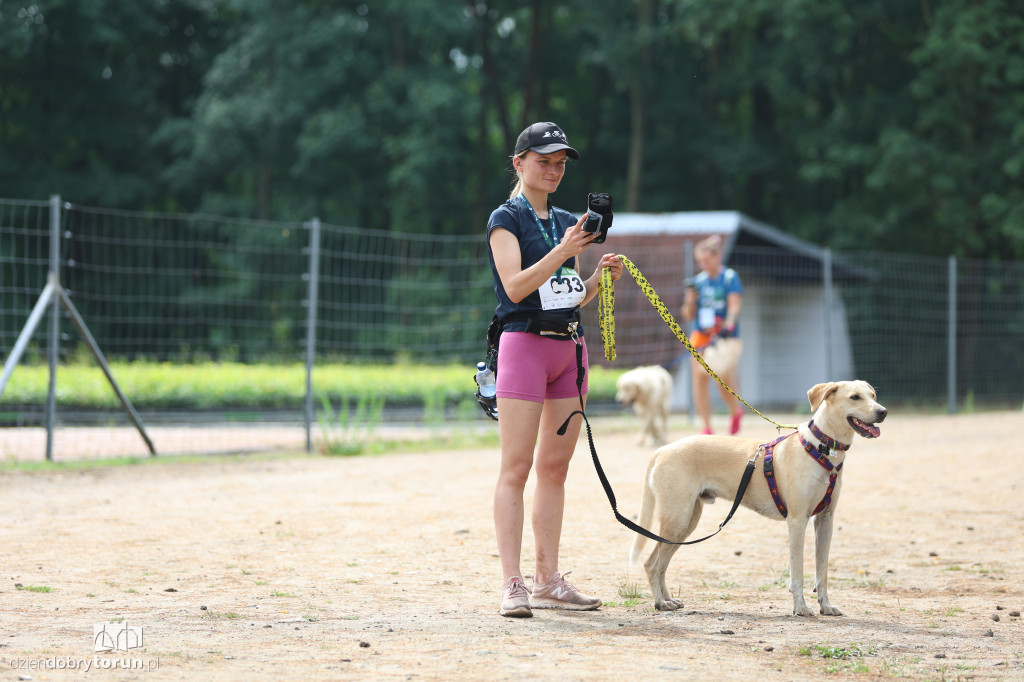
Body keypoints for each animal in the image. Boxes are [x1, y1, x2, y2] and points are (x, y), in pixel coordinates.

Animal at [626, 378, 884, 614]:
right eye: (855, 397)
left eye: (872, 395)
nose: (883, 412)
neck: (822, 449)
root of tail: (664, 449)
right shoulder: (797, 521)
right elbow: (798, 573)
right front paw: (800, 607)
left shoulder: (825, 520)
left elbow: (822, 572)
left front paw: (826, 606)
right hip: (676, 520)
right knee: (652, 564)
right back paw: (660, 603)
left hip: (686, 523)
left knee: (661, 565)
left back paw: (668, 600)